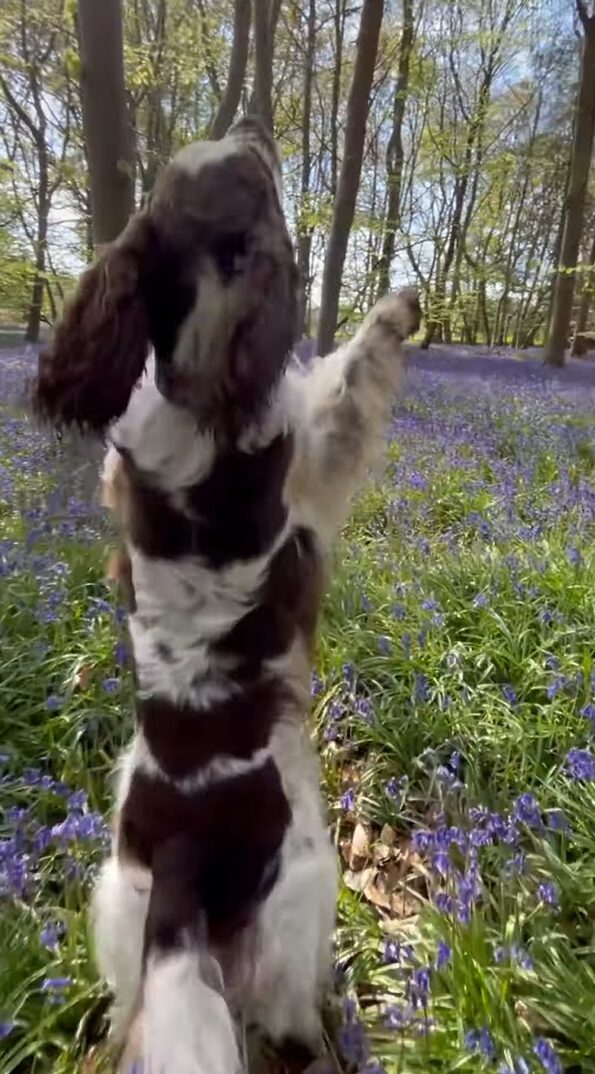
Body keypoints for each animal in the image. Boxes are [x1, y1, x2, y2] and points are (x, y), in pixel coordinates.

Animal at [32, 117, 418, 1074]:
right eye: (257, 182)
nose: (252, 125)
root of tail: (179, 857)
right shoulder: (315, 458)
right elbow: (351, 376)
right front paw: (397, 308)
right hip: (305, 895)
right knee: (279, 1010)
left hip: (118, 898)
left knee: (130, 1004)